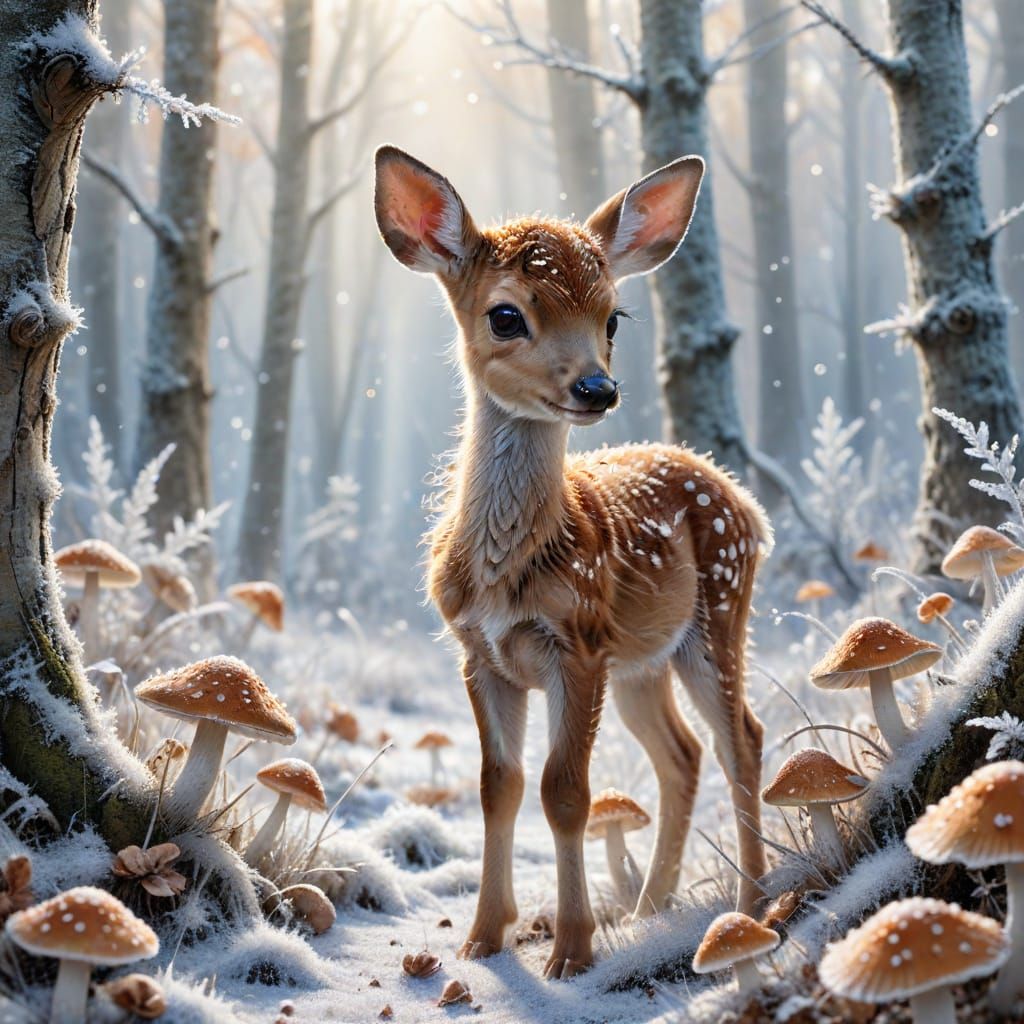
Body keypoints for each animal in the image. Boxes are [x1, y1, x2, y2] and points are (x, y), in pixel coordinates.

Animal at [373, 146, 772, 979]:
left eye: (613, 317)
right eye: (505, 314)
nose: (597, 386)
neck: (508, 572)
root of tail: (744, 502)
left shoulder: (579, 643)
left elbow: (566, 792)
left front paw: (572, 951)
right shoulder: (480, 653)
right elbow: (499, 785)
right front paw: (483, 937)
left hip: (718, 613)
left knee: (741, 740)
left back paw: (753, 905)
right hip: (645, 661)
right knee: (682, 753)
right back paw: (652, 907)